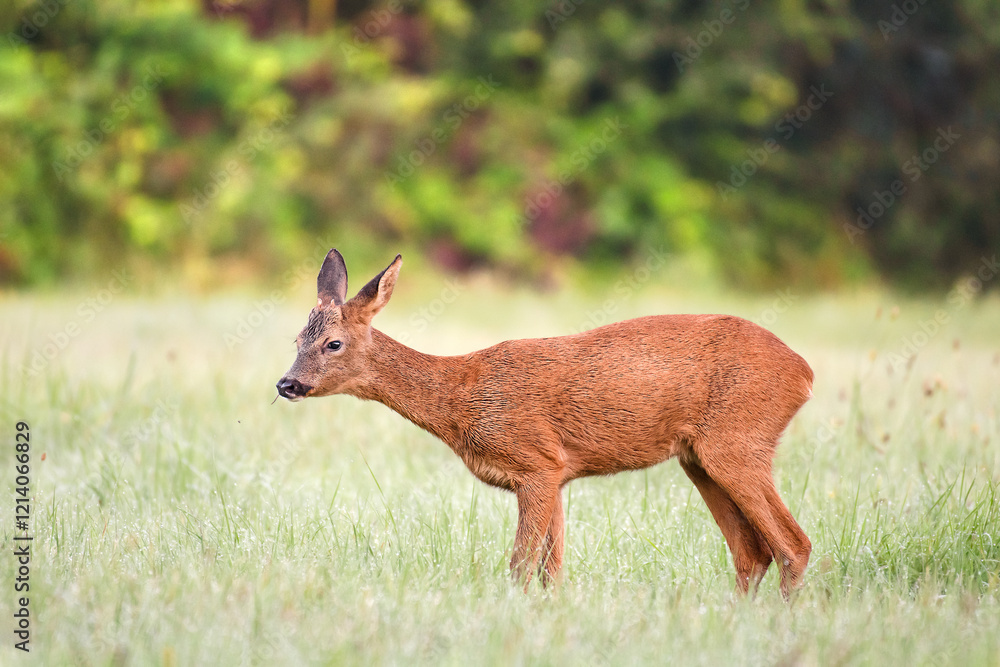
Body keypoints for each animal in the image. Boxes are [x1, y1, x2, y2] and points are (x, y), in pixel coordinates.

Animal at [276, 249, 814, 598]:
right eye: (297, 339)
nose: (287, 384)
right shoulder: (557, 473)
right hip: (698, 459)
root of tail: (803, 372)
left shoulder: (536, 463)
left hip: (736, 442)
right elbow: (551, 573)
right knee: (752, 554)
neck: (460, 400)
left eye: (333, 344)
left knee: (794, 545)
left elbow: (520, 566)